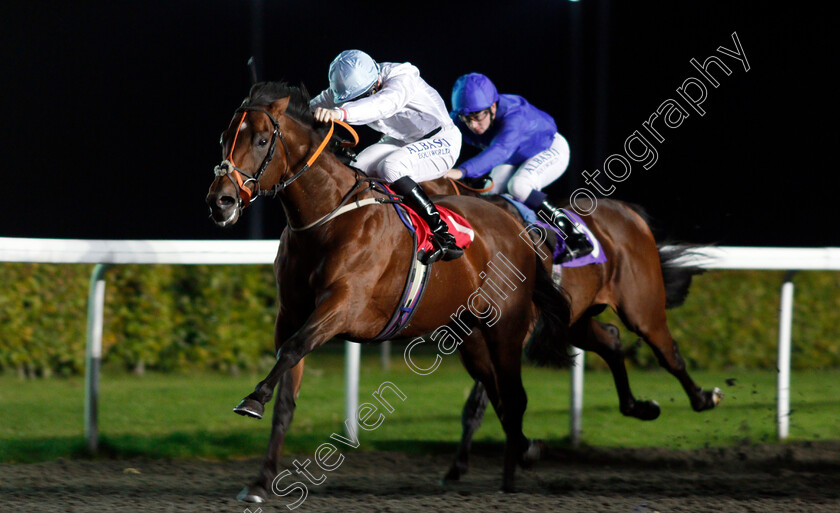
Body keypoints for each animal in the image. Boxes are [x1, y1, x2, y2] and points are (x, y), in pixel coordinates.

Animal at [205, 82, 572, 502]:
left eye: (262, 139)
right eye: (224, 138)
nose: (220, 201)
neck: (328, 217)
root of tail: (518, 226)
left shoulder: (343, 306)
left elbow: (293, 349)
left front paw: (253, 399)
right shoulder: (290, 314)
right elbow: (286, 393)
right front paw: (260, 480)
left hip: (506, 329)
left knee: (513, 396)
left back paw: (515, 469)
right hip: (472, 339)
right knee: (498, 396)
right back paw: (518, 460)